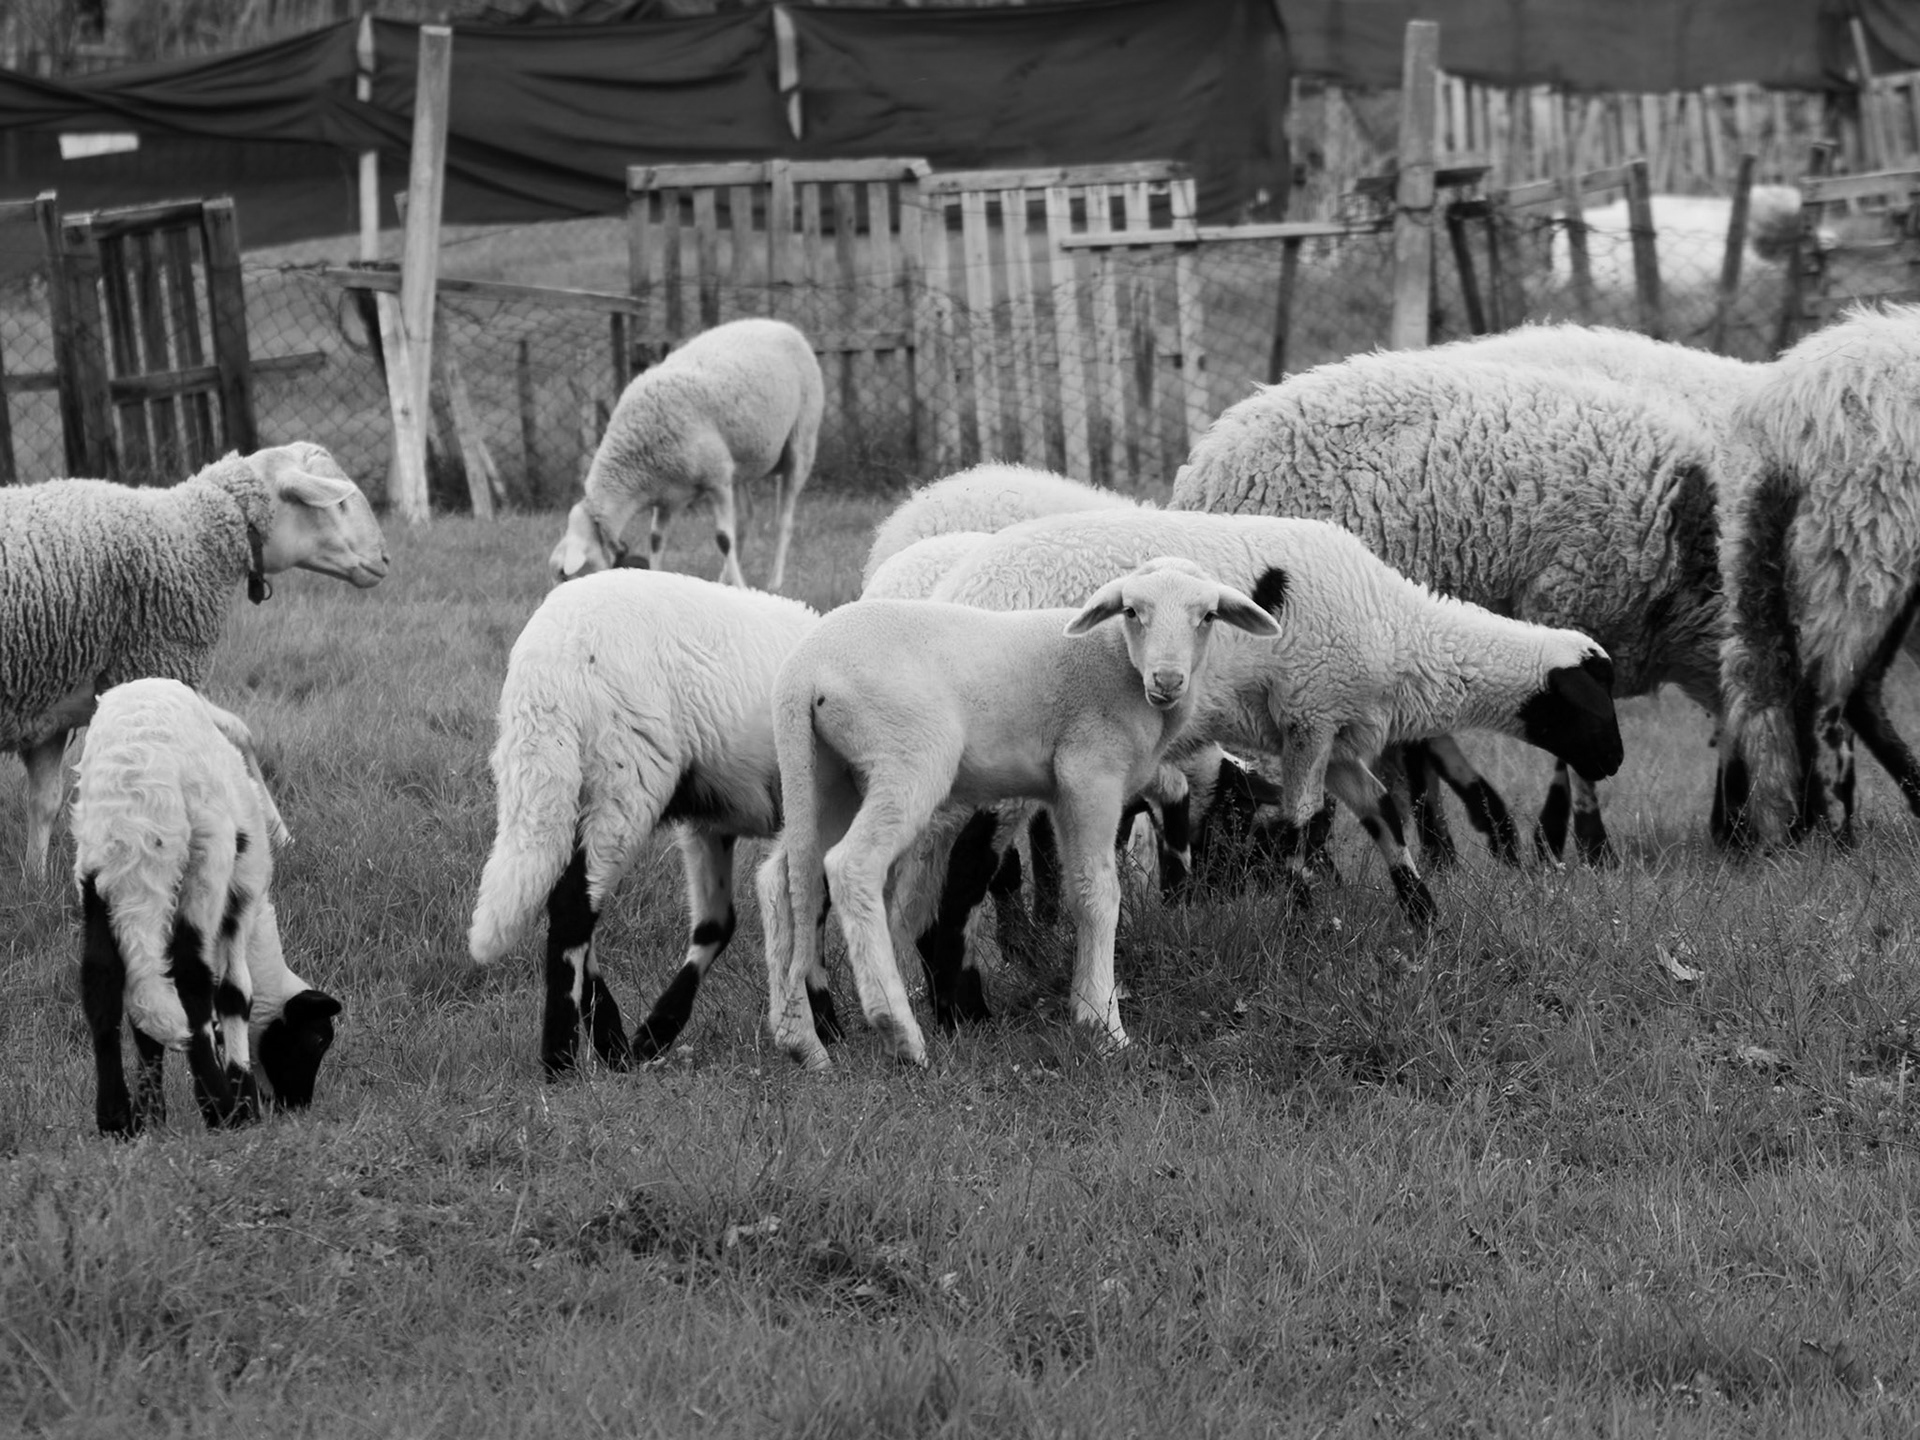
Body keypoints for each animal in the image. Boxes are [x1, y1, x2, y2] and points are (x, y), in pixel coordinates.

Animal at [2, 443, 389, 879]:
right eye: (337, 505)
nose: (385, 559)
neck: (192, 533)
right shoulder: (156, 666)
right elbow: (230, 738)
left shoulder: (48, 707)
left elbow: (45, 801)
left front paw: (34, 877)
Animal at [71, 678, 341, 1137]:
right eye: (318, 1038)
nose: (298, 1107)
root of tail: (133, 779)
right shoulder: (242, 896)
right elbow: (233, 995)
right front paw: (242, 1098)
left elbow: (143, 1018)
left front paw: (152, 1116)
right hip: (205, 860)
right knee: (190, 975)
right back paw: (219, 1107)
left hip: (95, 870)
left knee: (102, 979)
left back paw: (115, 1119)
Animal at [466, 567, 839, 1077]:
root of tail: (547, 660)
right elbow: (810, 910)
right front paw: (825, 1023)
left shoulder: (710, 822)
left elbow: (717, 924)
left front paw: (656, 1031)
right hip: (626, 775)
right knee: (573, 906)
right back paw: (560, 1059)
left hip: (550, 778)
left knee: (570, 900)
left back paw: (612, 1042)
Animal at [548, 318, 824, 591]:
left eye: (566, 575)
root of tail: (779, 324)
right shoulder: (668, 497)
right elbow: (656, 540)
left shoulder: (716, 477)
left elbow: (724, 539)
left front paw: (742, 587)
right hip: (740, 467)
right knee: (746, 518)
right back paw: (725, 580)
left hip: (801, 441)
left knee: (784, 520)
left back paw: (774, 582)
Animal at [760, 556, 1282, 1071]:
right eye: (1132, 611)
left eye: (1208, 616)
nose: (1167, 680)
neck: (1118, 662)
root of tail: (802, 672)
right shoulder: (1089, 771)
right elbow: (1098, 893)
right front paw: (1105, 1026)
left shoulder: (1061, 791)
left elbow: (1072, 885)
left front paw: (1086, 1009)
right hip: (907, 756)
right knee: (851, 866)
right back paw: (898, 1031)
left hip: (827, 774)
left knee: (786, 879)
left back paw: (801, 1039)